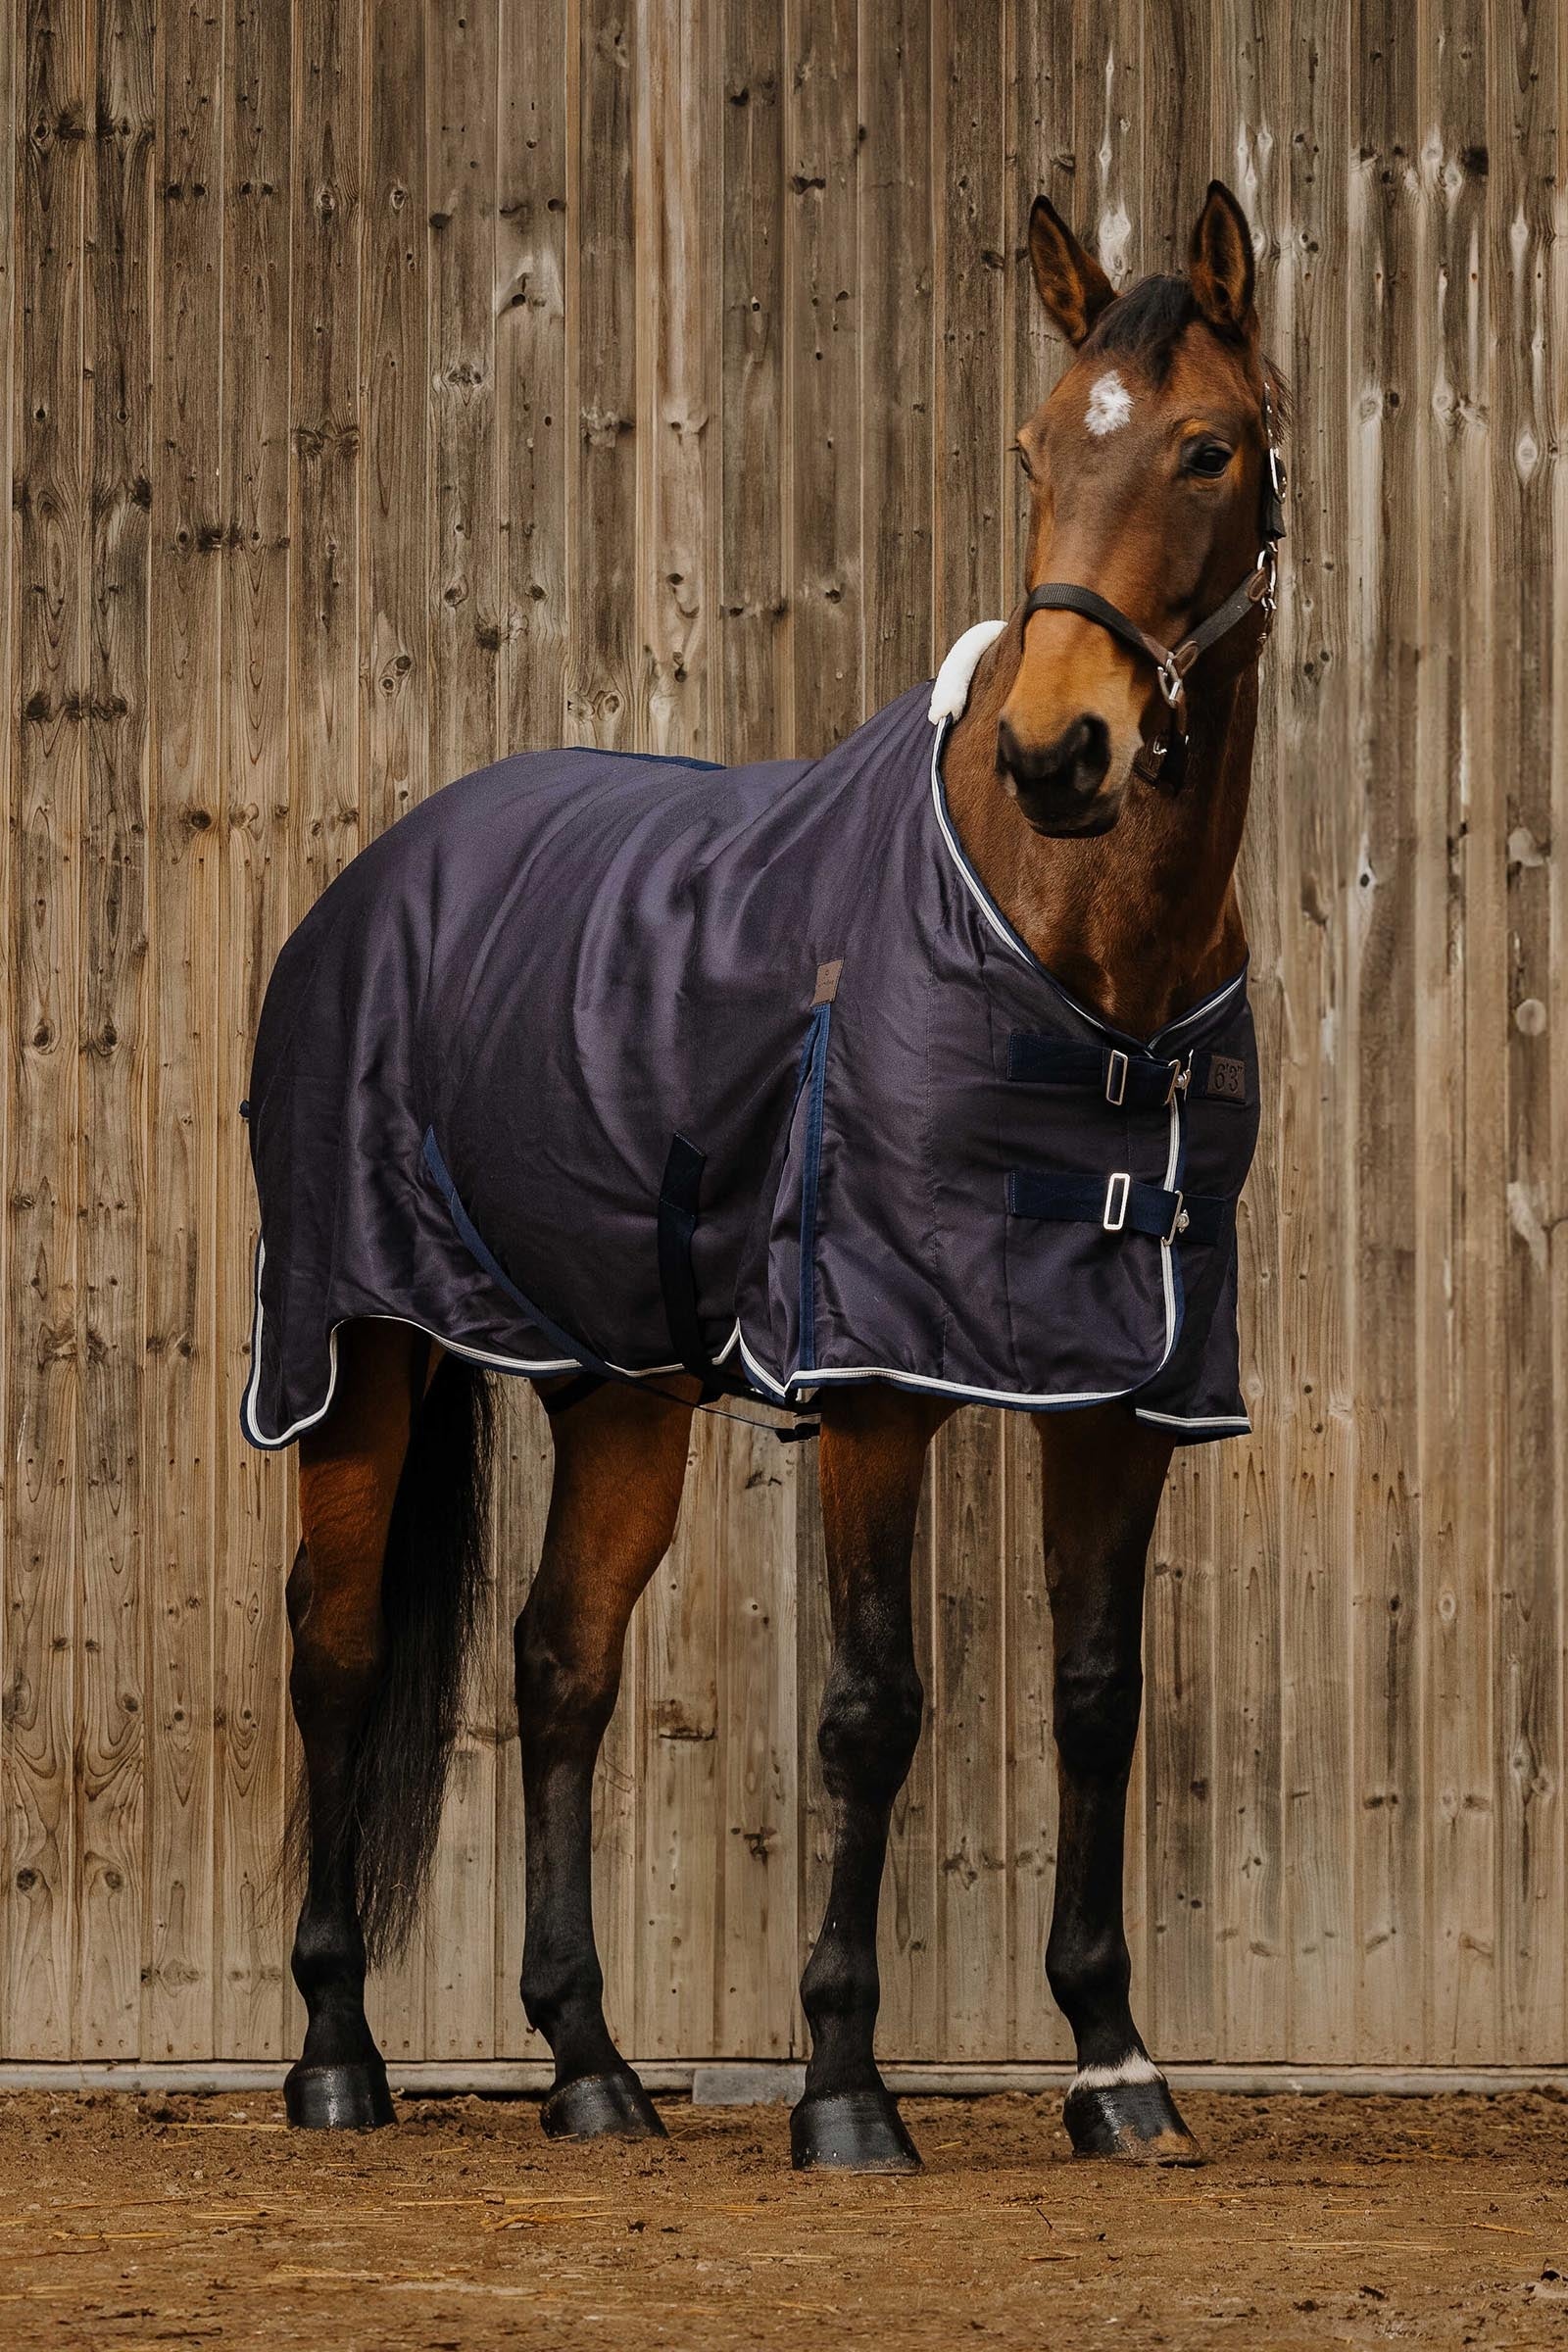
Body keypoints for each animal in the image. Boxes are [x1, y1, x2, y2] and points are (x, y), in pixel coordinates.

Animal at [256, 179, 1286, 2173]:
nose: (1058, 752)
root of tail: (376, 878)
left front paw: (1116, 2066)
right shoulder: (879, 1377)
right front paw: (843, 2088)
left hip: (615, 1386)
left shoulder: (1131, 1385)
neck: (1084, 971)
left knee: (562, 1662)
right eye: (1038, 449)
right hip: (353, 1350)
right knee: (339, 1653)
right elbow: (875, 1706)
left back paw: (591, 2068)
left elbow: (1095, 1698)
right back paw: (338, 2054)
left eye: (1206, 448)